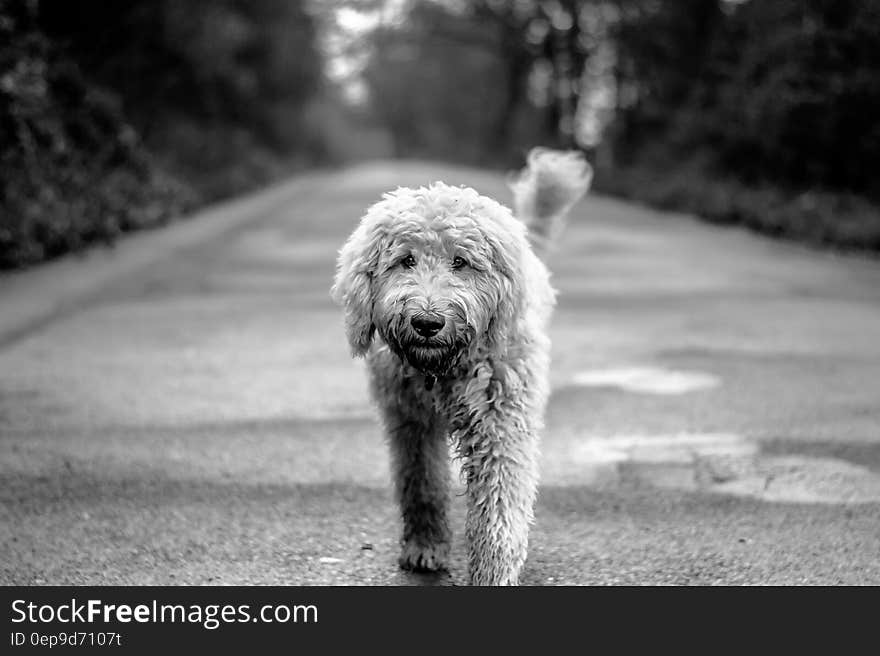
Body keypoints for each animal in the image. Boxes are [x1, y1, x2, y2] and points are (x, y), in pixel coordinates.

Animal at [332, 149, 592, 584]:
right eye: (406, 260)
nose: (427, 322)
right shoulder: (410, 422)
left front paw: (493, 573)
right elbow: (421, 483)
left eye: (461, 261)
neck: (443, 368)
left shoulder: (501, 423)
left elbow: (499, 505)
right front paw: (425, 546)